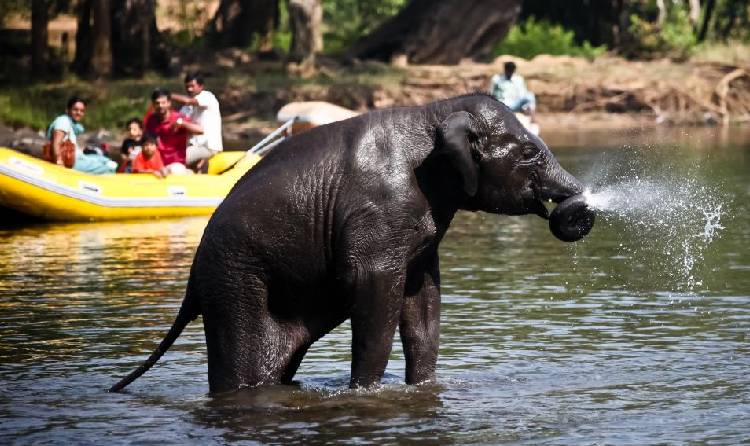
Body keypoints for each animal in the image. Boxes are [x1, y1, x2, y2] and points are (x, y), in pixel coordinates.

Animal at [110, 94, 592, 394]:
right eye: (529, 153)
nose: (574, 211)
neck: (434, 114)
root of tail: (191, 283)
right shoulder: (379, 212)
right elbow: (374, 288)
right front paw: (364, 393)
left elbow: (423, 300)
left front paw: (424, 389)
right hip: (236, 283)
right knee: (243, 369)